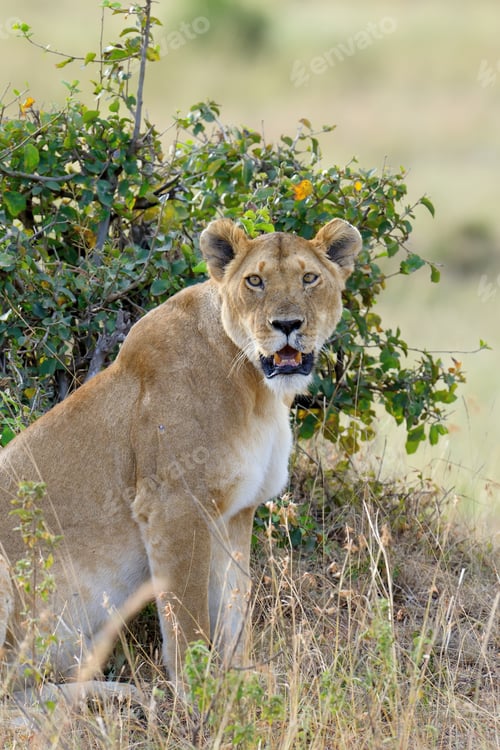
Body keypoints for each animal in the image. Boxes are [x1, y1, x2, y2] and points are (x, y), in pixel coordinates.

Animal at [0, 217, 361, 694]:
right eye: (255, 281)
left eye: (309, 278)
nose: (286, 324)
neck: (257, 391)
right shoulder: (174, 503)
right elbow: (188, 615)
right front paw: (199, 691)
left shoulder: (235, 511)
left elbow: (234, 606)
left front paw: (241, 681)